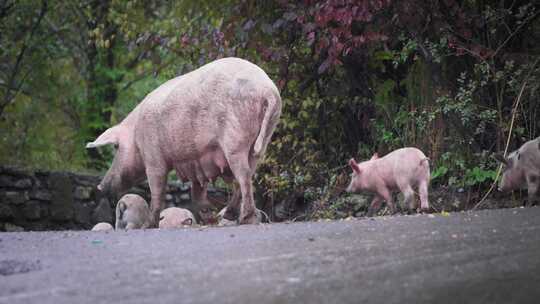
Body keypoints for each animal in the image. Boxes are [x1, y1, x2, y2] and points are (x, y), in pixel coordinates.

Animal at [86, 57, 280, 226]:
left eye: (116, 146)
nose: (100, 186)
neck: (136, 135)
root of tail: (267, 90)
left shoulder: (153, 154)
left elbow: (157, 188)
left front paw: (148, 225)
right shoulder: (197, 160)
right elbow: (197, 190)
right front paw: (208, 216)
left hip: (235, 139)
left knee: (243, 176)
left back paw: (245, 219)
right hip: (263, 138)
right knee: (248, 174)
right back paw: (230, 216)